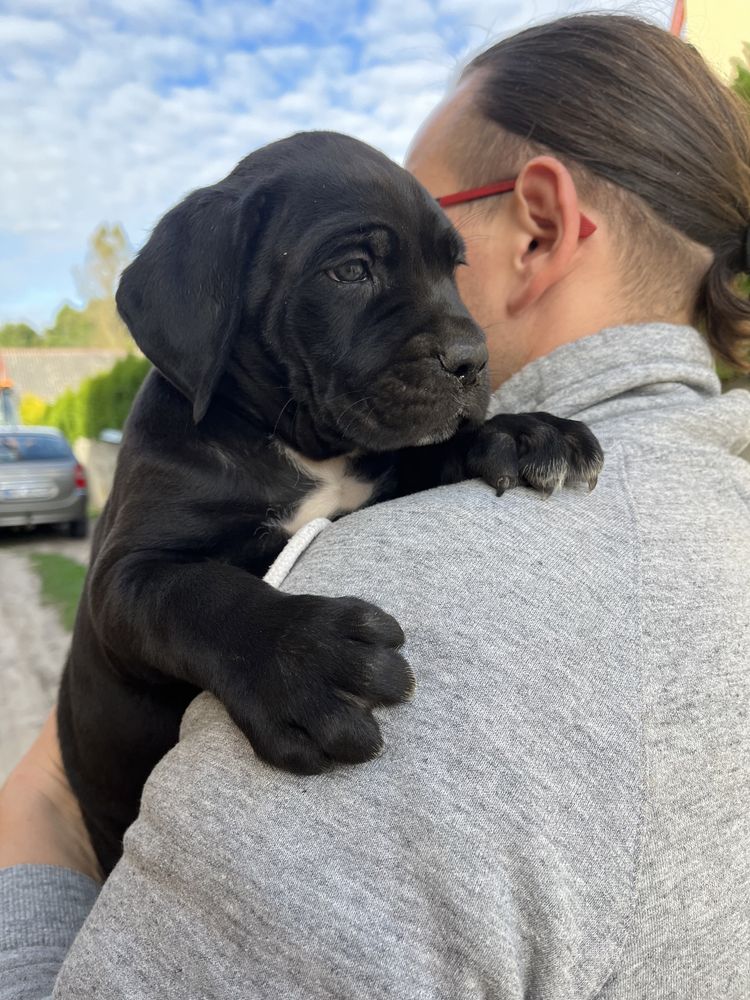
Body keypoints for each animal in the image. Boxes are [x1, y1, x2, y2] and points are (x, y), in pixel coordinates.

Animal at [57, 135, 604, 876]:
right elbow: (199, 594)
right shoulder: (126, 574)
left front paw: (523, 433)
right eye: (349, 271)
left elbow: (427, 452)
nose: (472, 359)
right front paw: (303, 659)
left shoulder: (381, 474)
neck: (301, 445)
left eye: (454, 269)